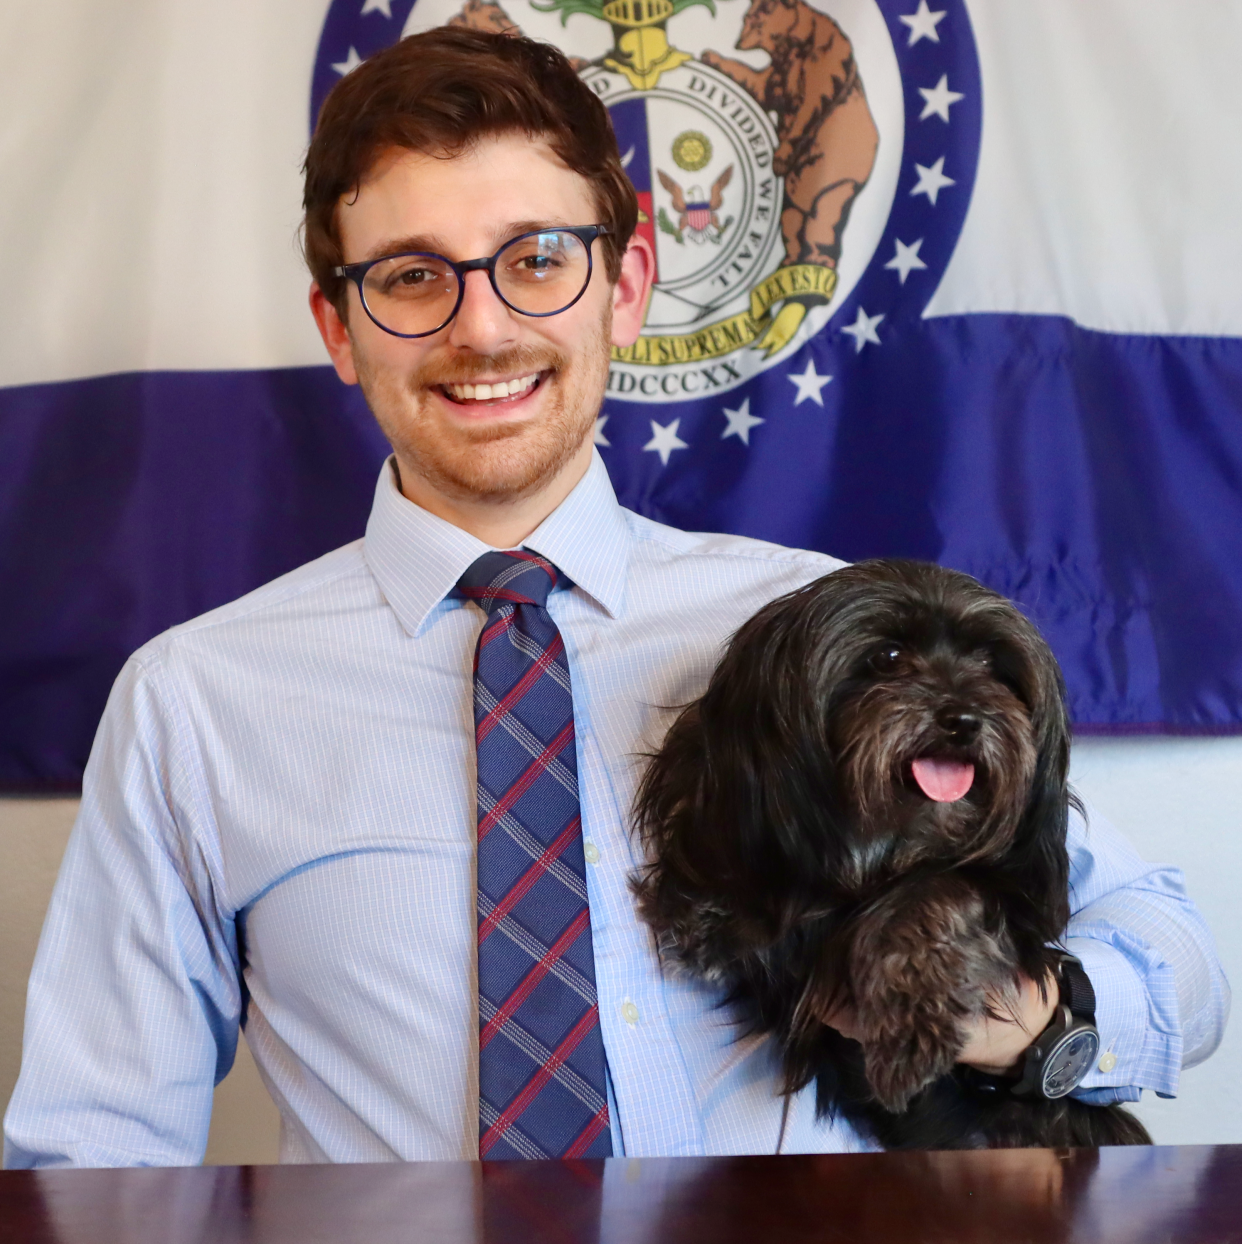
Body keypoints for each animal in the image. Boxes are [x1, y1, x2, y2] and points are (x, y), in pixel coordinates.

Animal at [637, 559, 1149, 1149]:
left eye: (990, 664)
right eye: (888, 657)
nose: (965, 718)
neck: (893, 845)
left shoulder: (1013, 893)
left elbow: (937, 890)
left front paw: (910, 1021)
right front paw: (724, 908)